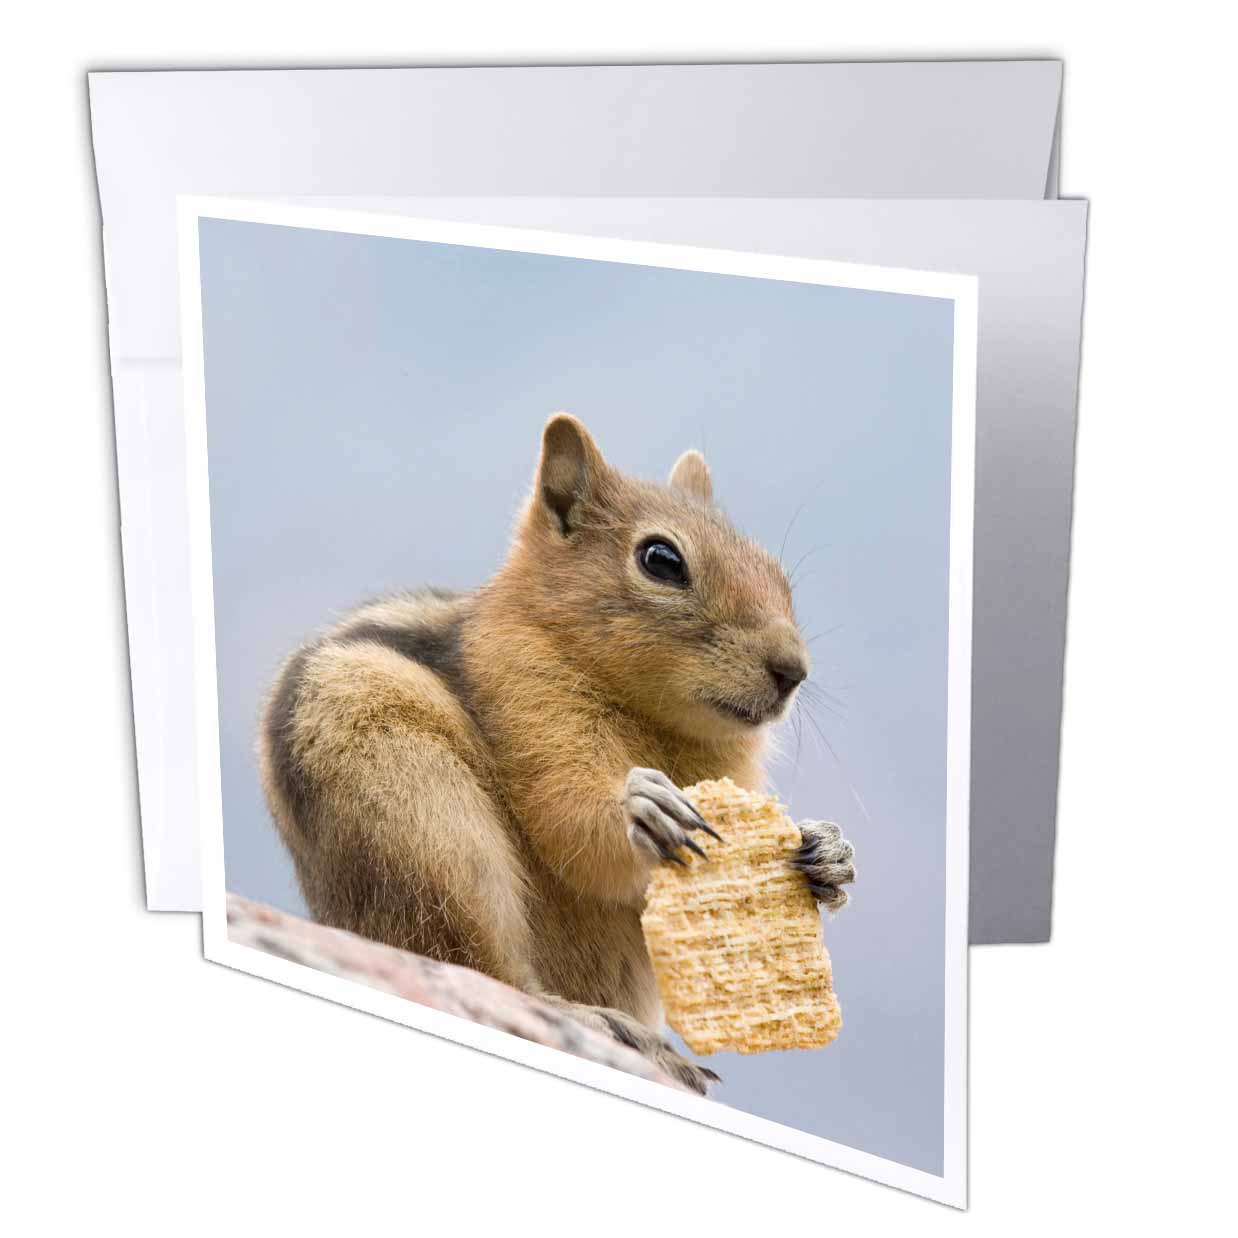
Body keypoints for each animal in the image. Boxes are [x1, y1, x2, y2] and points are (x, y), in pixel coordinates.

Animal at [258, 414, 856, 1093]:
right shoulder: (526, 699)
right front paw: (640, 804)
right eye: (661, 559)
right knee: (484, 969)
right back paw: (599, 1021)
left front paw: (828, 854)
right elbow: (571, 823)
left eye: (775, 570)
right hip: (427, 835)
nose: (793, 670)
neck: (659, 722)